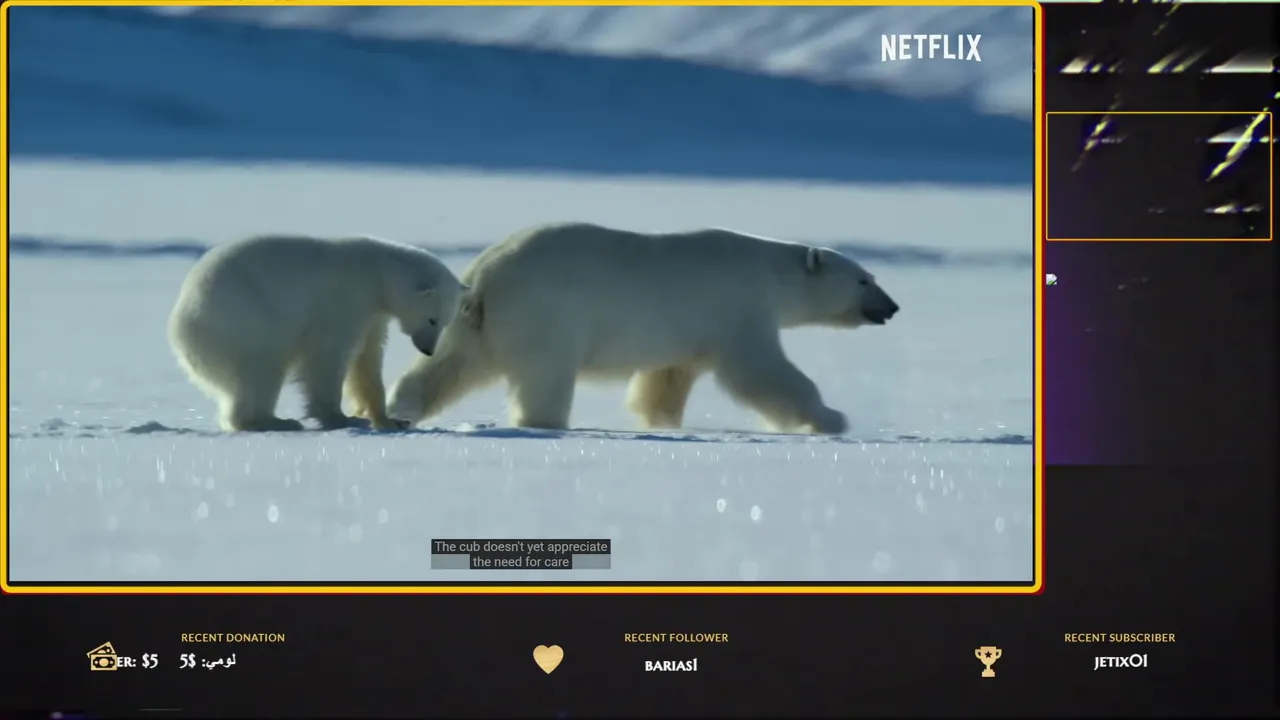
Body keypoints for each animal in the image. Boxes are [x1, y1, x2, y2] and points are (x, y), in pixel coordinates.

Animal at [168, 234, 466, 432]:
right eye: (432, 319)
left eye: (445, 322)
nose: (428, 350)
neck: (377, 273)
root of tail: (178, 324)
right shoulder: (345, 298)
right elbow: (328, 355)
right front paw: (341, 418)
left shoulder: (373, 315)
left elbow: (367, 360)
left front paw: (390, 420)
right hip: (242, 321)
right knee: (262, 370)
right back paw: (273, 421)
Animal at [386, 222, 899, 435]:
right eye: (864, 280)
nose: (893, 307)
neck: (769, 272)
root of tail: (486, 277)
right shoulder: (737, 307)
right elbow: (763, 372)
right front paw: (831, 418)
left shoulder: (688, 331)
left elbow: (666, 379)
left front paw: (662, 421)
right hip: (546, 317)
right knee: (545, 377)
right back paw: (544, 421)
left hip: (470, 322)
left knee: (449, 365)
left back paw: (402, 408)